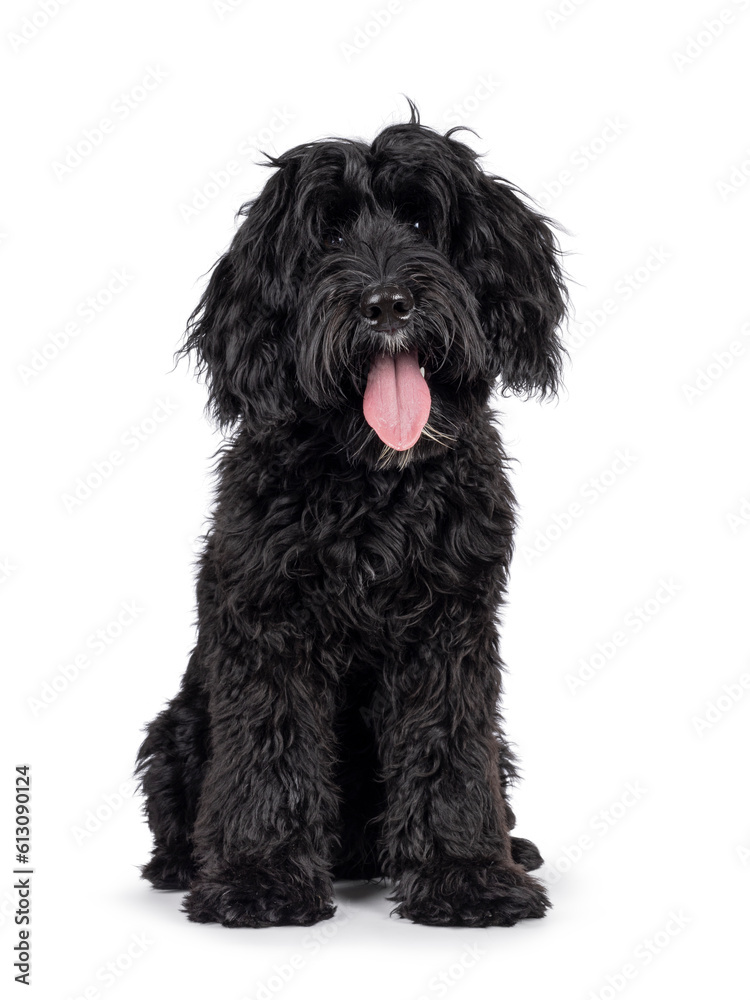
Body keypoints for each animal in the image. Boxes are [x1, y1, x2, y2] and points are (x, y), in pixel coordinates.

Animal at [137, 109, 568, 928]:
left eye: (420, 218)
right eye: (328, 232)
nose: (387, 304)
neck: (374, 484)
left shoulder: (450, 630)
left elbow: (448, 750)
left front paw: (468, 875)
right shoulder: (269, 626)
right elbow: (271, 746)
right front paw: (260, 876)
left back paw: (511, 847)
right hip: (179, 725)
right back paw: (183, 863)